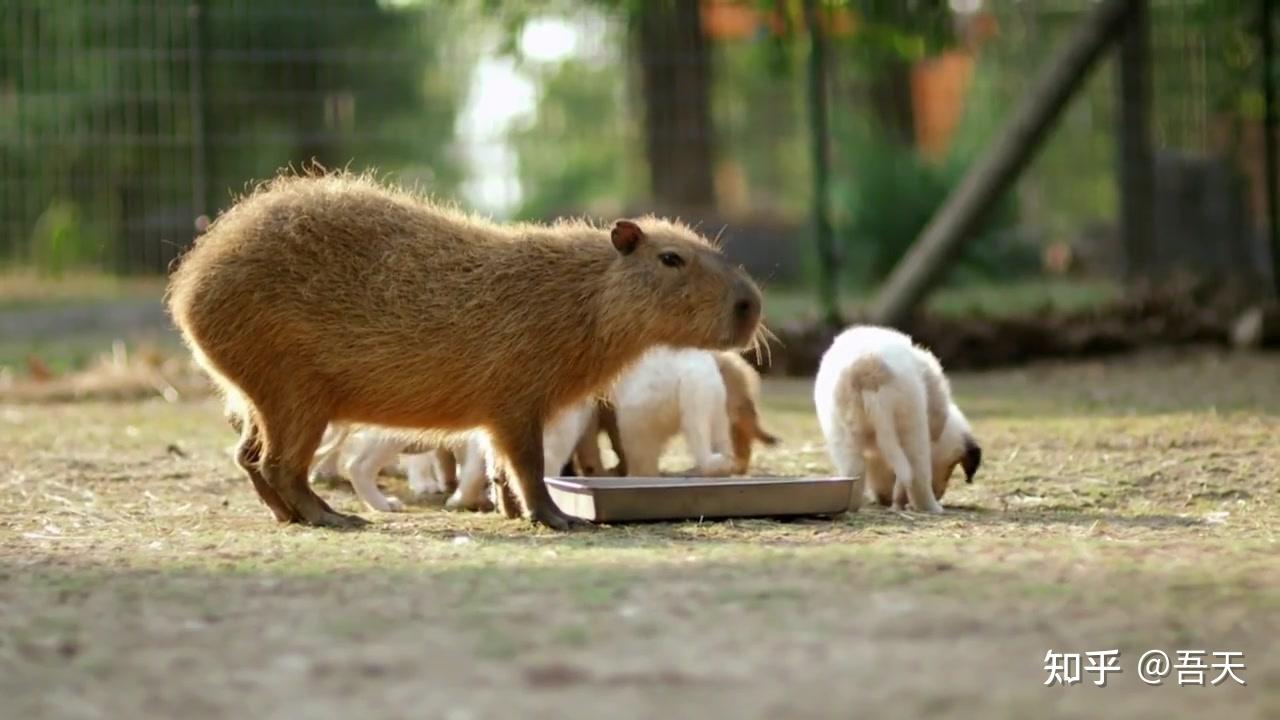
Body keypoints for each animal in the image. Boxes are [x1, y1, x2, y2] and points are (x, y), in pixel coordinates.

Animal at [814, 325, 983, 509]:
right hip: (912, 426)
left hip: (842, 435)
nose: (939, 495)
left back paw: (852, 507)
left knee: (854, 474)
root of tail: (868, 370)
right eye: (951, 467)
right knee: (917, 476)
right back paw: (932, 508)